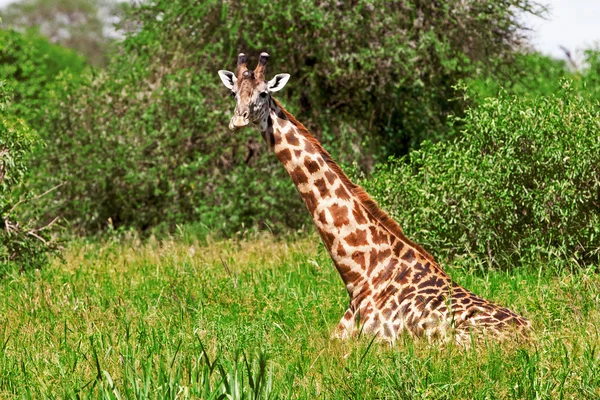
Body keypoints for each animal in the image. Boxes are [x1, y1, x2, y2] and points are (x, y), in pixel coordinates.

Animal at [217, 51, 528, 344]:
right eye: (234, 93)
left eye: (264, 93)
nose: (238, 120)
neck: (362, 273)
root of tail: (531, 337)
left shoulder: (371, 343)